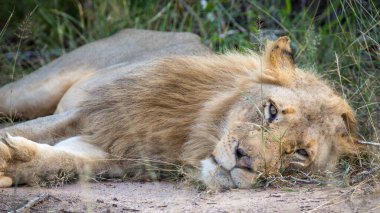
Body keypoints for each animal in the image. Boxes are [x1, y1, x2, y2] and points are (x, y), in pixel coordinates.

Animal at [0, 29, 362, 188]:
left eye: (299, 154)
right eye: (271, 111)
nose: (244, 160)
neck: (192, 135)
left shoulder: (126, 155)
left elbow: (64, 161)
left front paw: (14, 164)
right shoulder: (90, 116)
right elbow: (24, 130)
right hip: (29, 91)